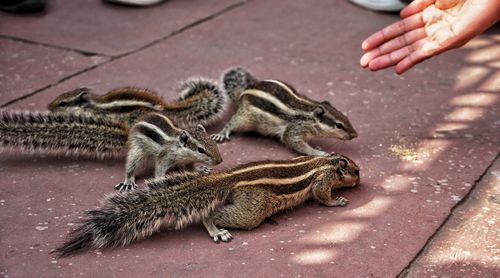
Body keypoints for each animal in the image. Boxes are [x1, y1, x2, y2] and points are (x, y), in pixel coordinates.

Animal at [51, 153, 360, 258]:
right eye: (355, 171)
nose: (361, 179)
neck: (327, 160)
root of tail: (227, 178)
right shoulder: (322, 180)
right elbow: (321, 195)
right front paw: (337, 201)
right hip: (252, 209)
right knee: (212, 214)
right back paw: (215, 229)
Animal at [210, 66, 356, 155]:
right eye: (339, 125)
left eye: (347, 118)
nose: (355, 135)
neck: (309, 114)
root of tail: (243, 92)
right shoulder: (294, 130)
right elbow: (293, 142)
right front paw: (319, 153)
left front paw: (318, 147)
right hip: (244, 118)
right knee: (232, 122)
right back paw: (222, 133)